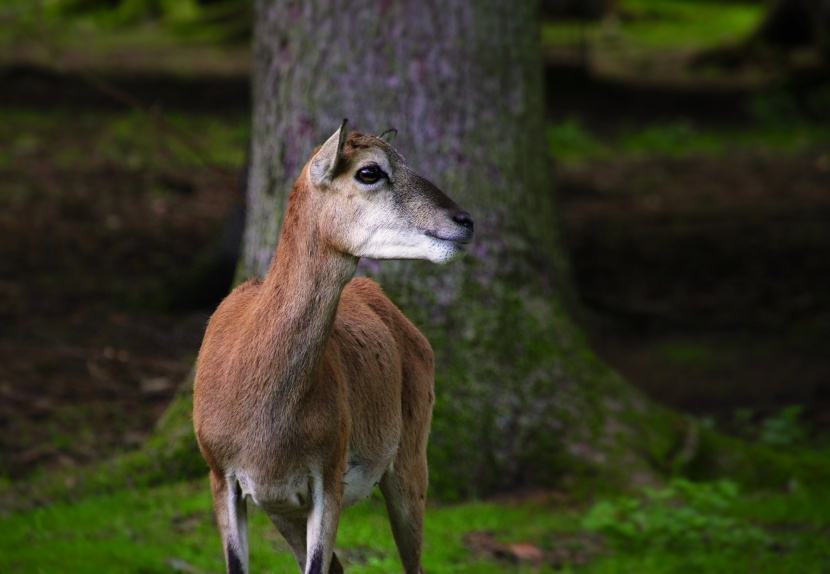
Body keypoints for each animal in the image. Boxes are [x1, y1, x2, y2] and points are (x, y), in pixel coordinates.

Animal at [194, 118, 474, 574]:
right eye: (369, 171)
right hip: (284, 508)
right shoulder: (223, 477)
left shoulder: (329, 476)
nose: (465, 221)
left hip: (411, 461)